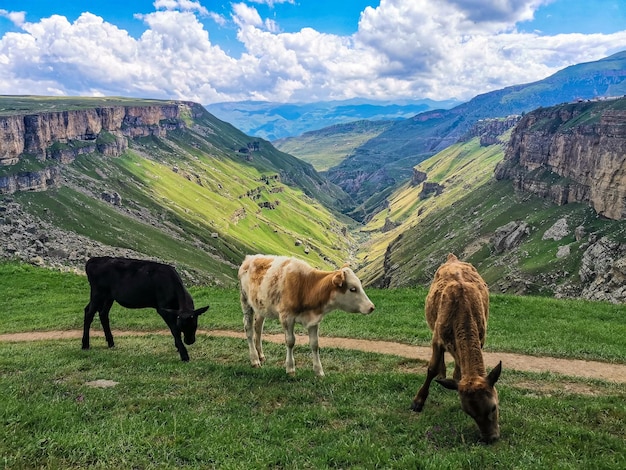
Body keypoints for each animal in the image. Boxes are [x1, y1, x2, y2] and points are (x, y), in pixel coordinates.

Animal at [81, 258, 210, 360]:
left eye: (194, 324)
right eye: (182, 326)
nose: (189, 341)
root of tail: (93, 260)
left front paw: (178, 347)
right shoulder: (163, 309)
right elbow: (174, 331)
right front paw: (184, 355)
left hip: (108, 296)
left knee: (102, 313)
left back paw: (111, 343)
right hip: (98, 293)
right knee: (89, 313)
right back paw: (85, 345)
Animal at [410, 252, 502, 442]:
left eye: (493, 407)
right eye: (470, 413)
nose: (490, 438)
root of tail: (452, 257)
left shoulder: (481, 337)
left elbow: (459, 369)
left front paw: (455, 379)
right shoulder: (436, 338)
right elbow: (431, 369)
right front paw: (418, 401)